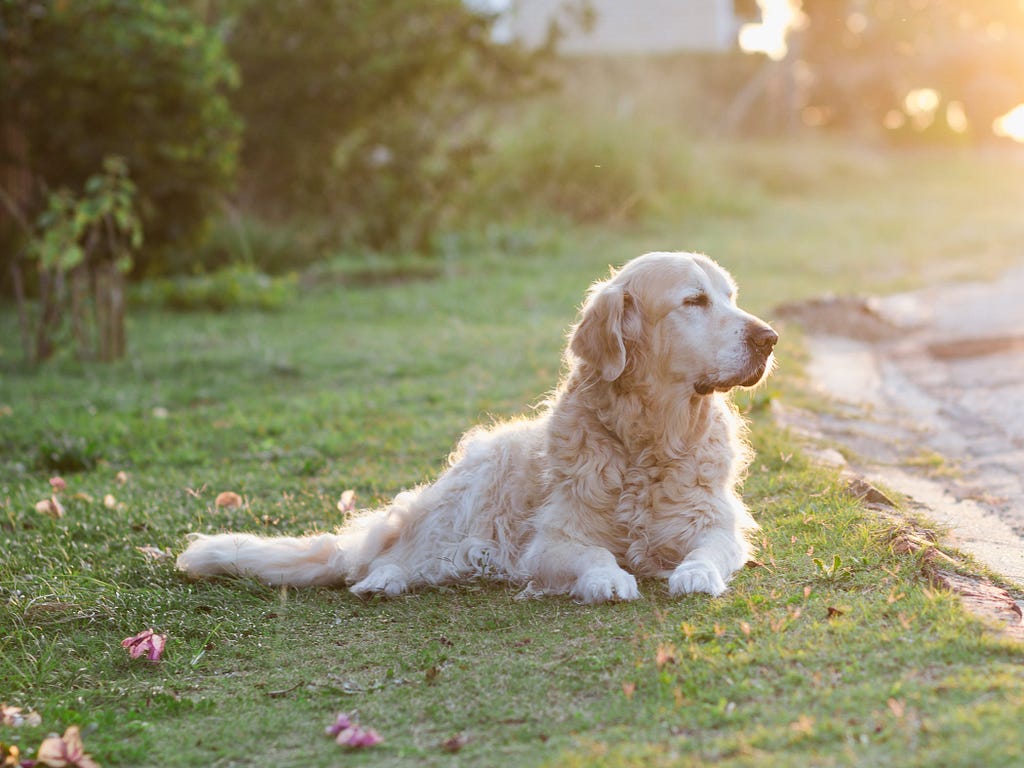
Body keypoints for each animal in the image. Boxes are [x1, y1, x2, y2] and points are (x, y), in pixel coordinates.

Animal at [180, 256, 778, 606]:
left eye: (731, 297)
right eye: (694, 301)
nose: (769, 338)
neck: (649, 437)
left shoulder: (717, 523)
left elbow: (708, 549)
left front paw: (694, 574)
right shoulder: (552, 541)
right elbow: (592, 556)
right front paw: (607, 578)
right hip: (465, 511)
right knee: (398, 556)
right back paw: (383, 580)